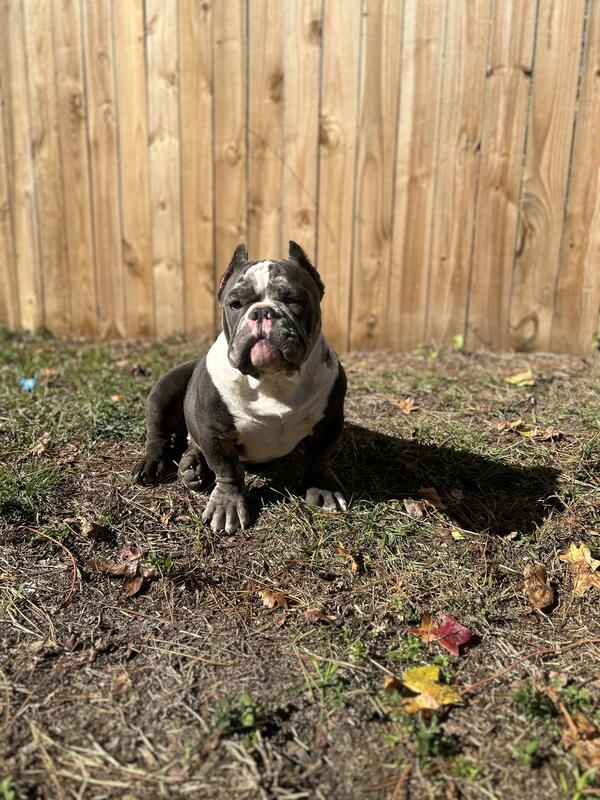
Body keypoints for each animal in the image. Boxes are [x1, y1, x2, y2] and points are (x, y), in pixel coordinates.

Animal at [132, 241, 347, 533]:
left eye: (294, 300)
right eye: (235, 304)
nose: (262, 311)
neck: (271, 378)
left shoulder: (330, 421)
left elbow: (318, 456)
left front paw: (322, 487)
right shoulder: (216, 433)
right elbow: (228, 470)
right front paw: (228, 504)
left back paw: (191, 466)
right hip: (164, 391)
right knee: (158, 435)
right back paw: (155, 464)